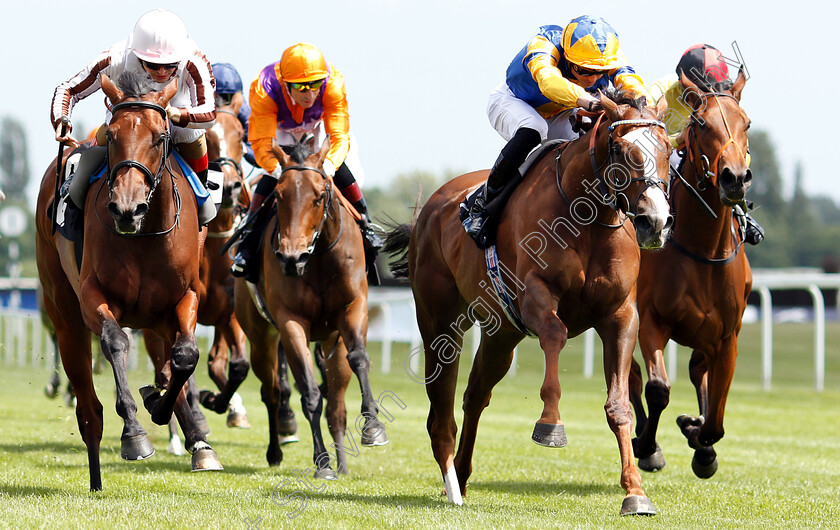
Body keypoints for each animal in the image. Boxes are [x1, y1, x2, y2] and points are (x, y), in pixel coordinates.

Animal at [34, 72, 221, 488]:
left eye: (159, 136)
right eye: (112, 135)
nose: (126, 208)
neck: (145, 234)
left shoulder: (184, 298)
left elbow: (186, 356)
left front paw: (164, 407)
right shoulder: (93, 296)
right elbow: (116, 342)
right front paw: (135, 434)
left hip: (156, 318)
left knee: (172, 362)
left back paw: (197, 440)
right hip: (64, 316)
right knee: (88, 408)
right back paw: (96, 477)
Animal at [235, 136, 388, 474]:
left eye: (319, 196)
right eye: (278, 195)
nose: (292, 258)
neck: (317, 259)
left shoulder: (353, 308)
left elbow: (359, 359)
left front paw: (373, 427)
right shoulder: (291, 323)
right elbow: (308, 390)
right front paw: (322, 462)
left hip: (331, 341)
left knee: (337, 402)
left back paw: (343, 462)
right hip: (261, 338)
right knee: (272, 392)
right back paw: (275, 451)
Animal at [388, 89, 676, 512]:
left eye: (668, 148)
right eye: (623, 150)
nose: (655, 221)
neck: (586, 218)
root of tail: (430, 209)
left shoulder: (620, 314)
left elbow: (619, 404)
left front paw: (635, 492)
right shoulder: (534, 295)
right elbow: (555, 334)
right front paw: (550, 424)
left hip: (500, 334)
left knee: (475, 396)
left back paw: (462, 474)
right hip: (439, 320)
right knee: (441, 405)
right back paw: (452, 485)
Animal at [628, 68, 752, 476]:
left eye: (747, 123)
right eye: (701, 123)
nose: (734, 178)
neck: (703, 249)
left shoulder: (727, 337)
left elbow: (716, 420)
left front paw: (699, 438)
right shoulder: (651, 319)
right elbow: (657, 388)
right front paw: (648, 445)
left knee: (698, 370)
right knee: (633, 376)